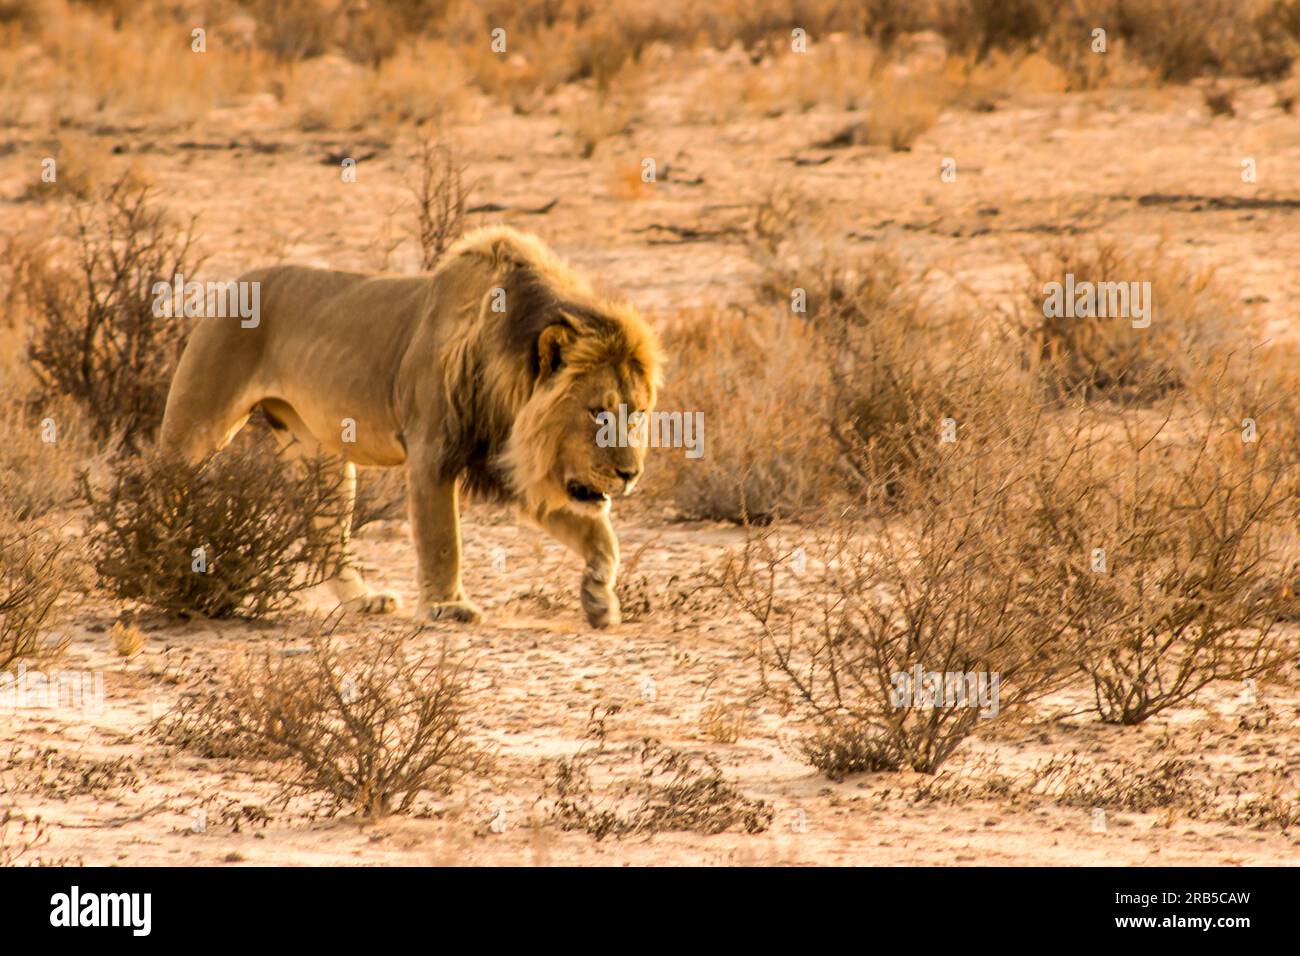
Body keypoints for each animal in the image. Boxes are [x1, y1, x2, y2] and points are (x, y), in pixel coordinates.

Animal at [159, 223, 660, 629]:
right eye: (597, 413)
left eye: (636, 413)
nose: (630, 474)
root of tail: (235, 283)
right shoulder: (432, 452)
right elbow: (442, 539)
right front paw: (447, 606)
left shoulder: (514, 460)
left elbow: (601, 537)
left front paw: (599, 598)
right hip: (199, 422)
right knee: (164, 481)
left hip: (321, 456)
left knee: (325, 535)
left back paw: (363, 600)